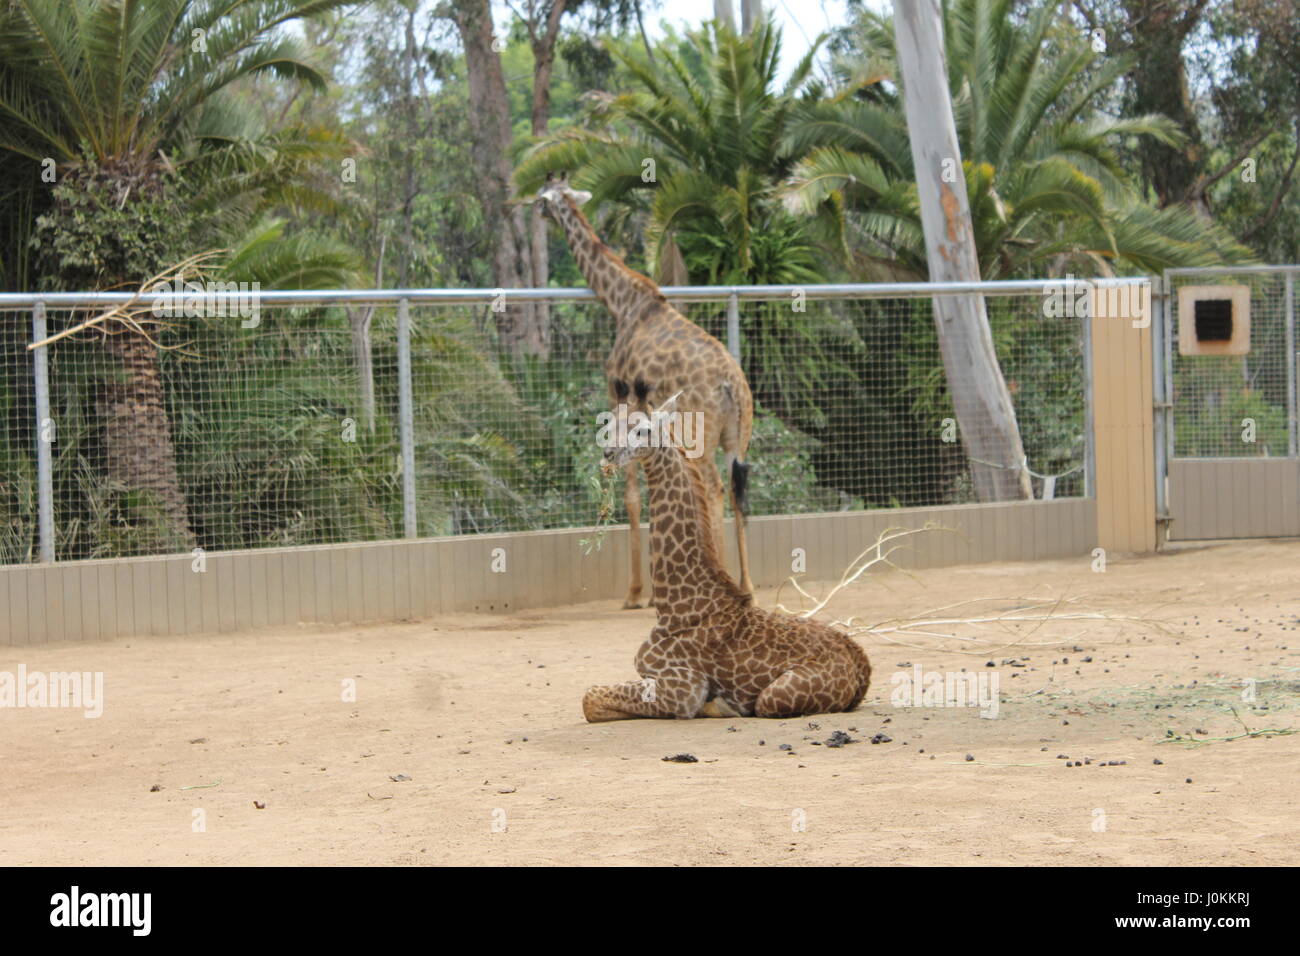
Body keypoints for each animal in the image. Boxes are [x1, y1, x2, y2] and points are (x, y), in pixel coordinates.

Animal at [535, 174, 759, 606]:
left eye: (542, 199)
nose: (533, 211)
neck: (623, 302)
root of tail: (731, 385)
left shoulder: (618, 397)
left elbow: (633, 497)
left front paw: (637, 592)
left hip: (699, 428)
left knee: (712, 487)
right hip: (737, 435)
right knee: (737, 490)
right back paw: (746, 586)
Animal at [582, 398, 873, 723]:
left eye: (643, 430)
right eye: (610, 424)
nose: (608, 454)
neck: (675, 608)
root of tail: (862, 669)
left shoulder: (681, 691)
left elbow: (589, 698)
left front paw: (718, 706)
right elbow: (591, 697)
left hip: (773, 698)